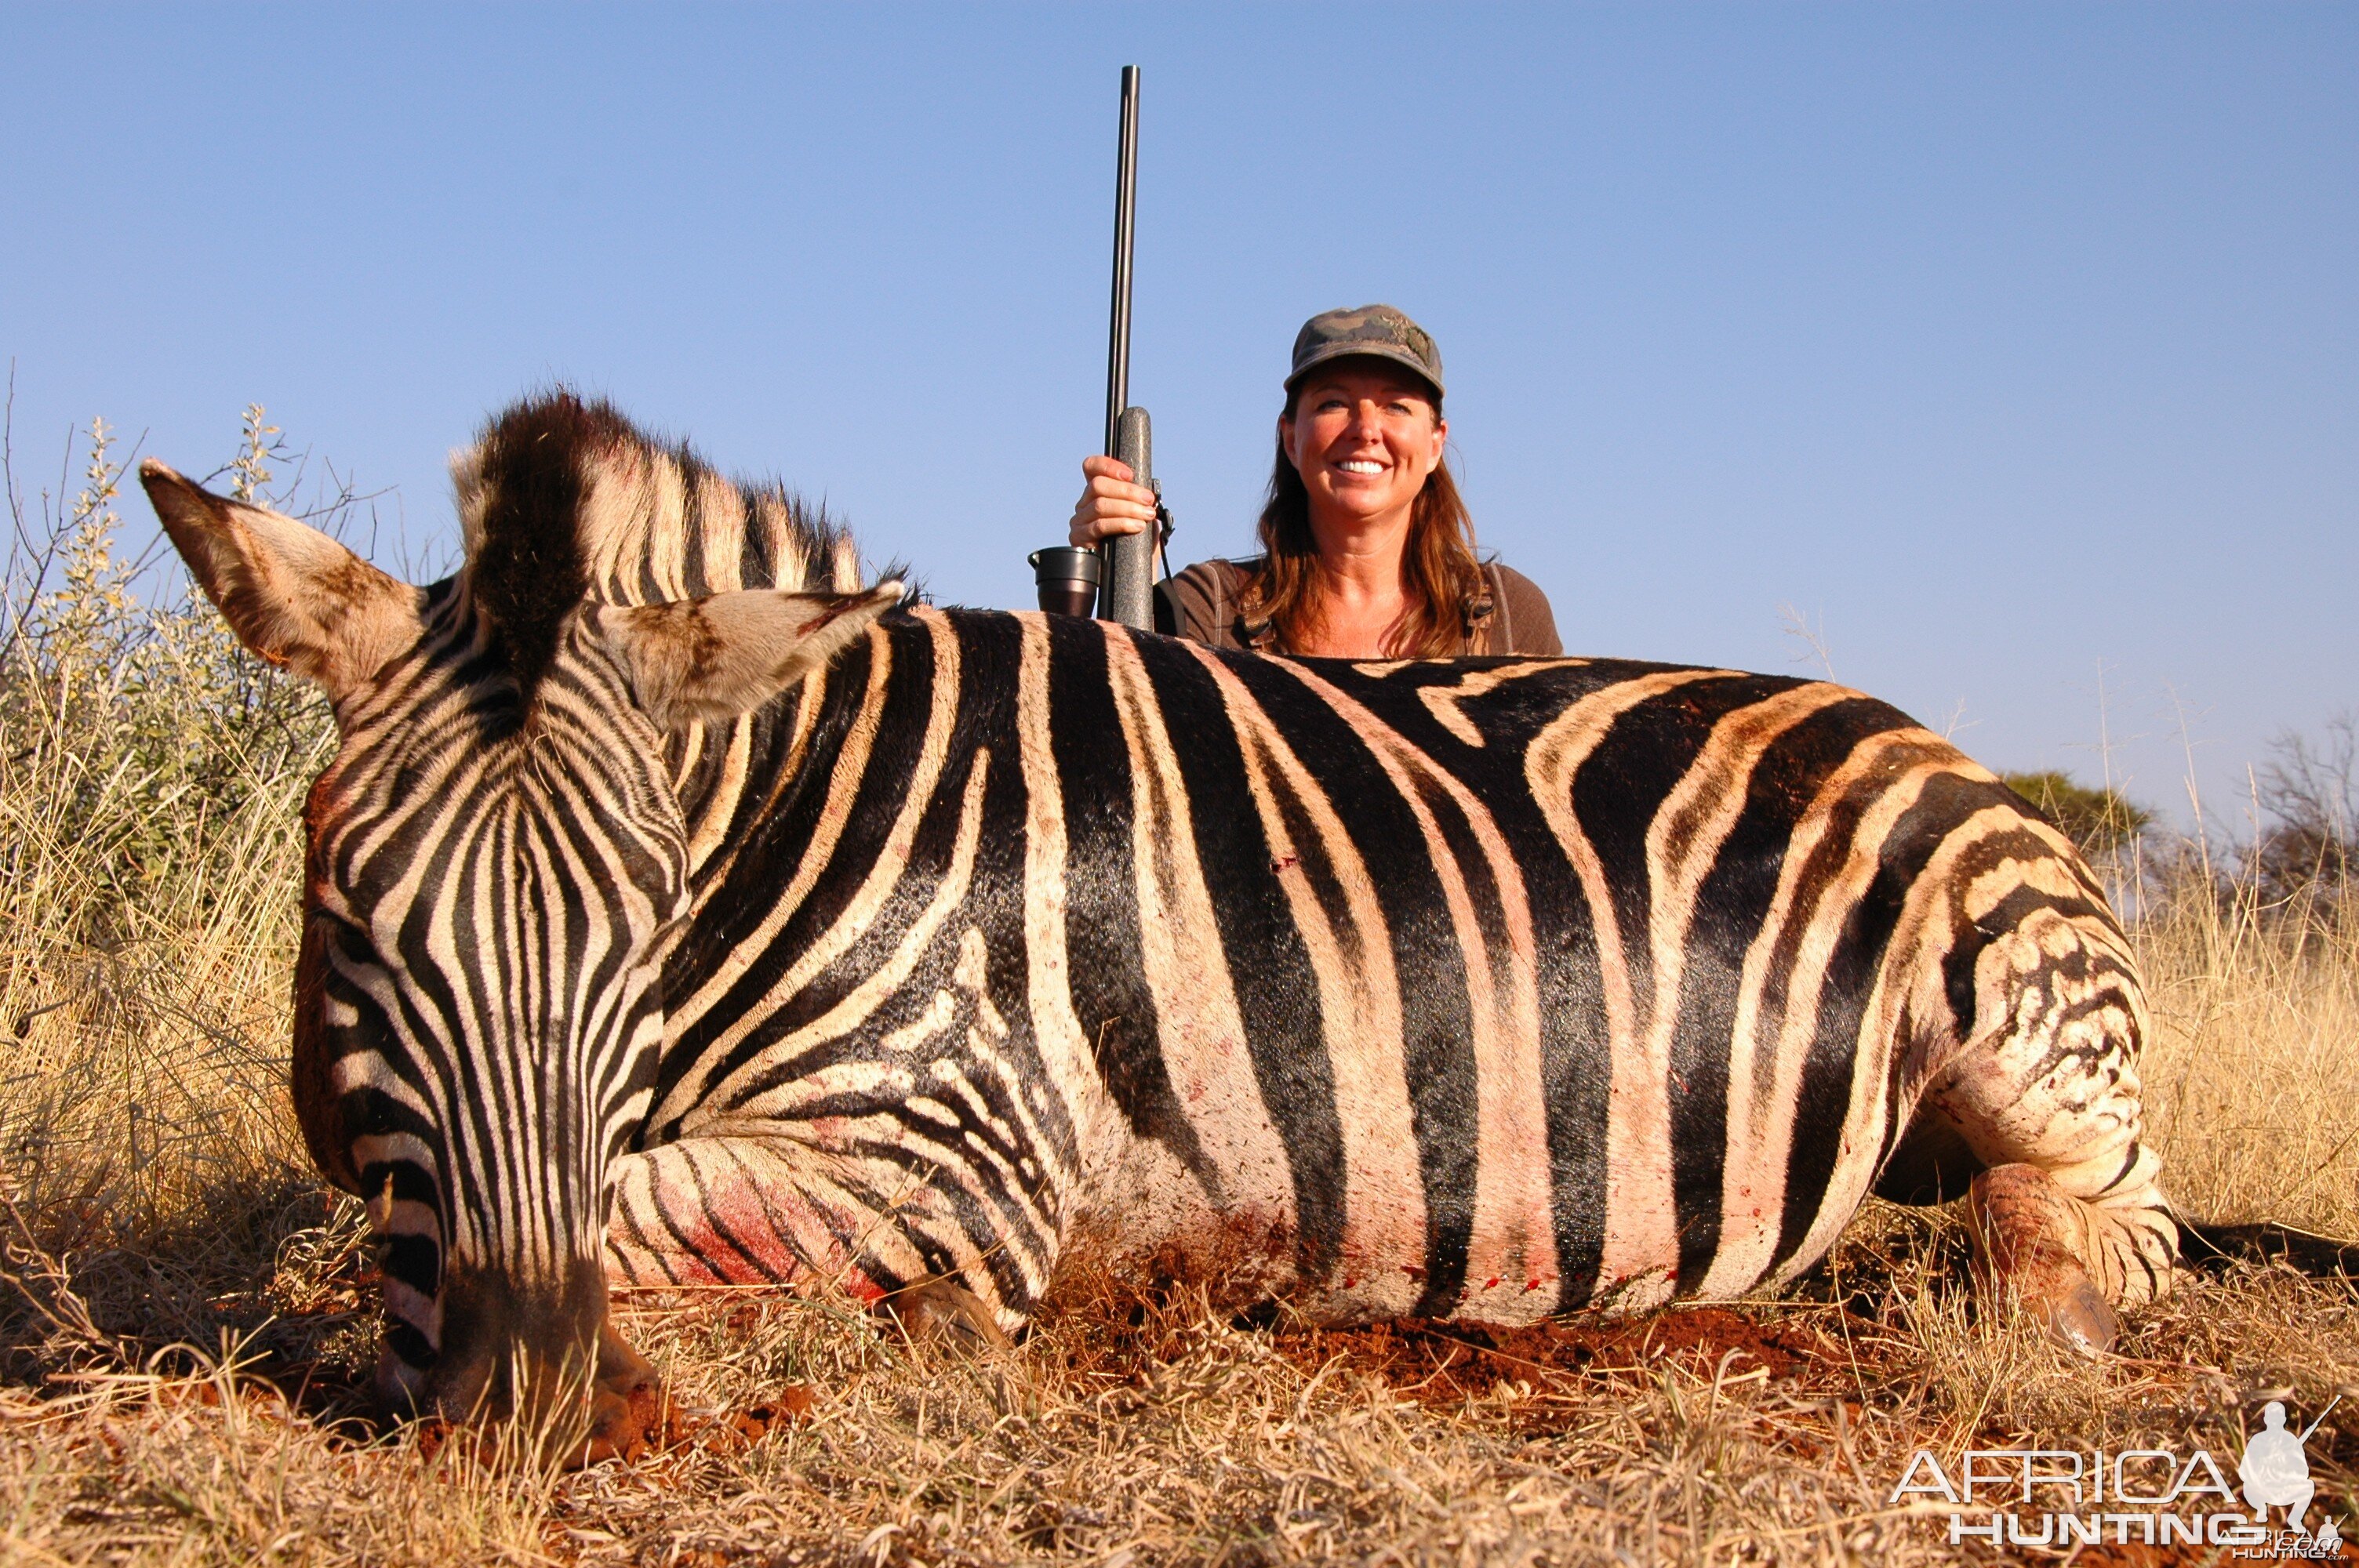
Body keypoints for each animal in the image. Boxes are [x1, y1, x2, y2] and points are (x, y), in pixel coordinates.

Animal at [142, 394, 2170, 1452]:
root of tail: (1929, 736)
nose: (526, 1401)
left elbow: (625, 1215)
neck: (801, 815)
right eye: (348, 913)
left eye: (644, 928)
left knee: (2095, 1234)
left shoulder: (954, 1152)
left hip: (2025, 1036)